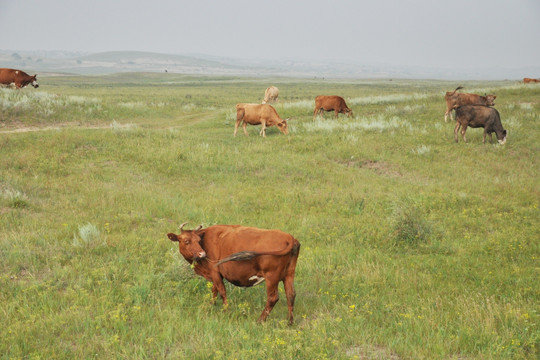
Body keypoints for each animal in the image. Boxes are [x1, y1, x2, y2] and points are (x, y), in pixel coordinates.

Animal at [167, 224, 302, 324]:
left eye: (198, 240)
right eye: (187, 241)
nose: (202, 254)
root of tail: (289, 237)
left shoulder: (214, 271)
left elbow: (221, 291)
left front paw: (225, 311)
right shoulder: (215, 274)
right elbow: (214, 290)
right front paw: (211, 305)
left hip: (271, 277)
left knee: (273, 298)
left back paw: (260, 320)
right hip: (289, 274)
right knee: (291, 295)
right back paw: (290, 322)